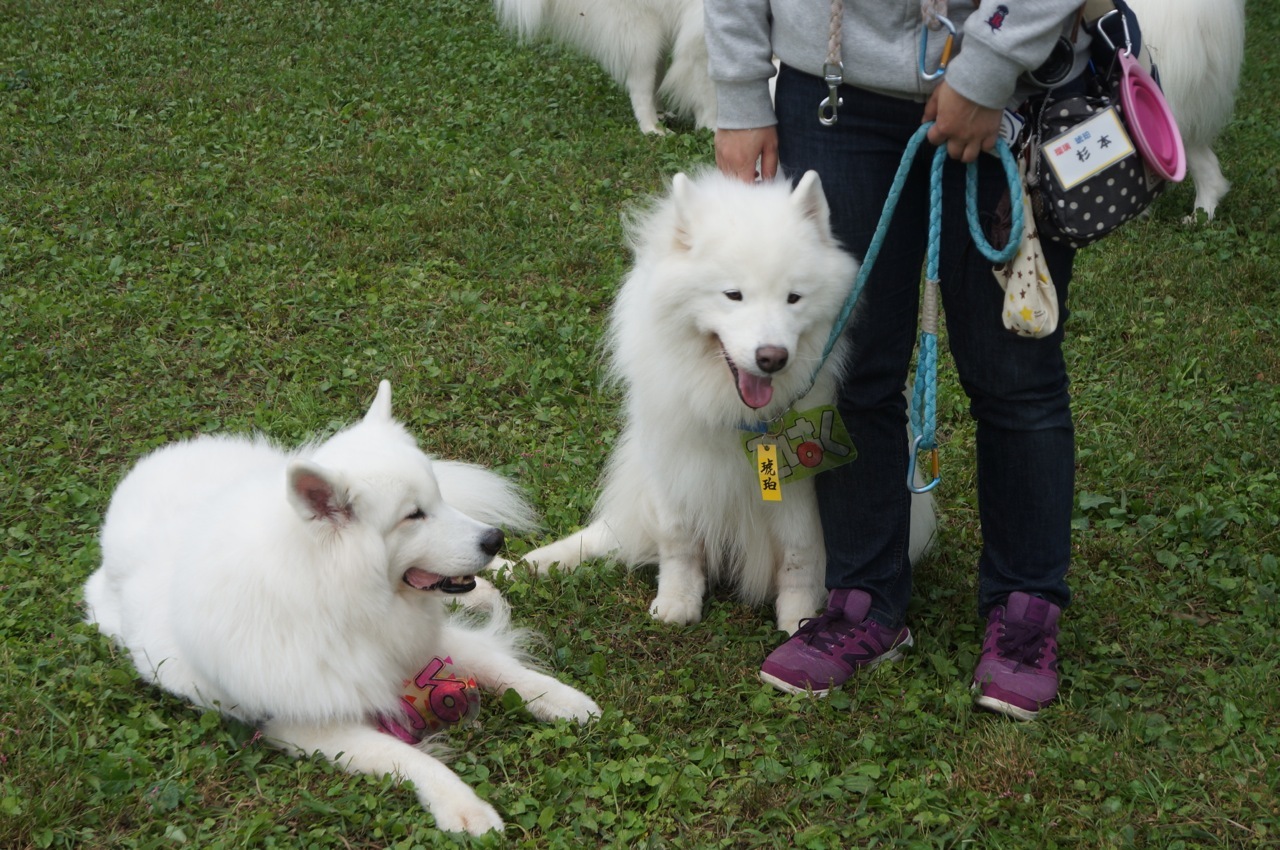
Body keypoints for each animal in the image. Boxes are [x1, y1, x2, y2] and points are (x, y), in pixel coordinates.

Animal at [85, 384, 593, 834]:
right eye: (413, 515)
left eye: (438, 500)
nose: (494, 540)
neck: (332, 594)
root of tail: (152, 463)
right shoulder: (310, 724)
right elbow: (412, 758)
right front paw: (463, 808)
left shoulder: (416, 640)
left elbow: (501, 667)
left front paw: (563, 700)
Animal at [491, 0, 716, 133]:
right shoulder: (701, 45)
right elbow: (706, 94)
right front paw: (711, 127)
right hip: (643, 34)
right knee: (640, 89)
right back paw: (653, 128)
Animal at [522, 172, 942, 634]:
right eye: (733, 295)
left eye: (794, 298)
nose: (772, 357)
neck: (736, 413)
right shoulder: (674, 468)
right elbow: (679, 541)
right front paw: (677, 602)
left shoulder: (800, 493)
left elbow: (799, 556)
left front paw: (799, 621)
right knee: (616, 531)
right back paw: (535, 561)